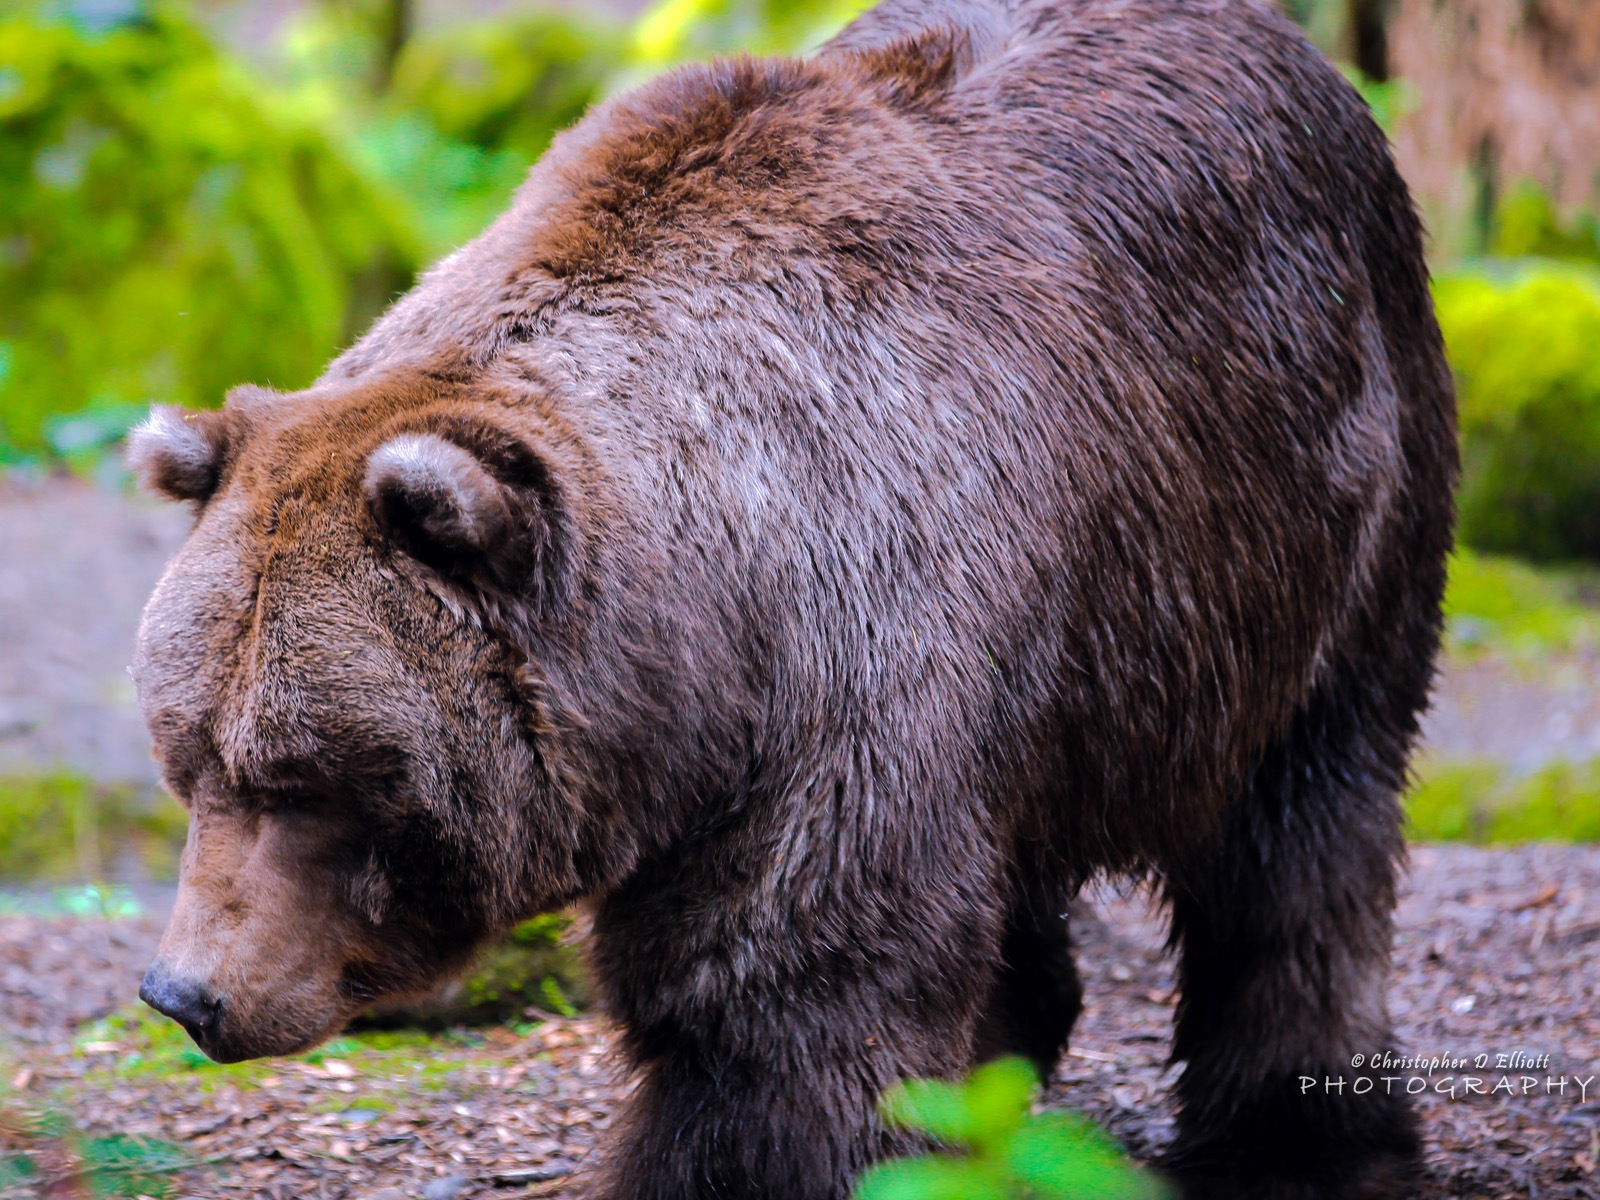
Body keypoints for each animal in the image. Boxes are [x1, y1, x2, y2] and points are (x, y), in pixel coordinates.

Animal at [124, 2, 1459, 1200]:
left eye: (307, 776)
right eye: (190, 757)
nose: (187, 994)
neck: (700, 638)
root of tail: (1286, 40)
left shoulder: (855, 654)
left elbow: (780, 988)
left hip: (1313, 492)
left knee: (1303, 823)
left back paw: (1297, 1140)